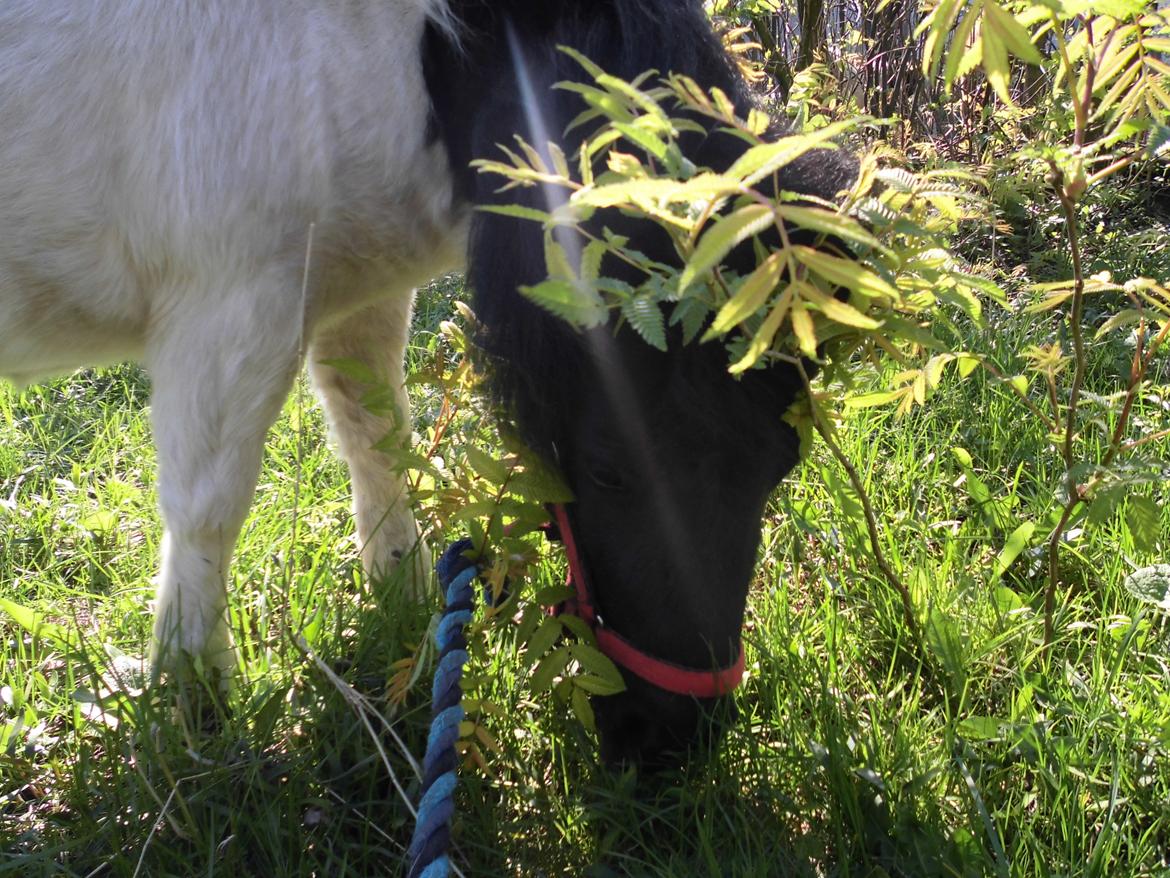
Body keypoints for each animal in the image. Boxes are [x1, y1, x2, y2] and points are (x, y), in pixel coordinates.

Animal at [2, 0, 851, 767]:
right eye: (609, 470)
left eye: (784, 462)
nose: (672, 740)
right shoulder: (232, 308)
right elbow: (208, 511)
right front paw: (195, 703)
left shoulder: (355, 288)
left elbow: (377, 437)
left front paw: (403, 594)